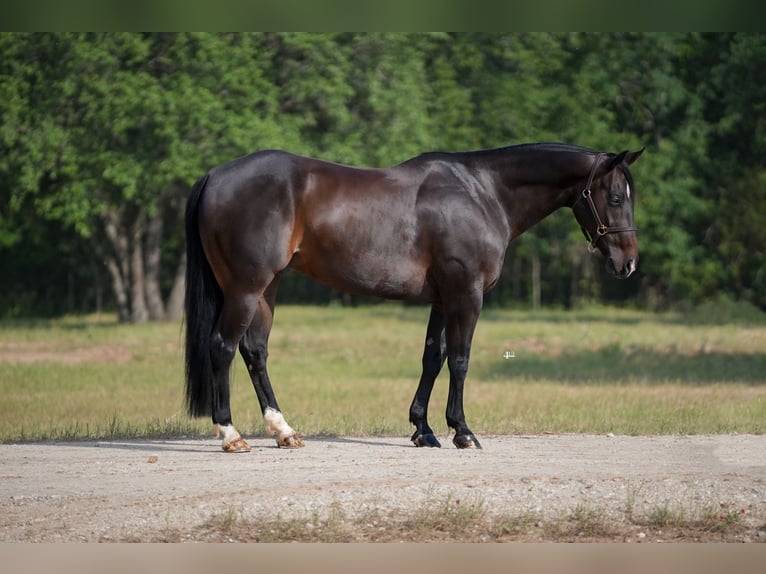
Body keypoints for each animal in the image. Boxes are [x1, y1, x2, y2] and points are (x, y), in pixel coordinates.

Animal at [183, 144, 644, 454]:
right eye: (614, 197)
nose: (628, 263)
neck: (483, 193)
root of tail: (215, 175)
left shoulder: (442, 298)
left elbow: (433, 357)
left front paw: (423, 429)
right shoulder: (466, 294)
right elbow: (460, 359)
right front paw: (462, 431)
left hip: (267, 288)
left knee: (255, 351)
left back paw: (284, 431)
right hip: (246, 287)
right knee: (222, 347)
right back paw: (231, 435)